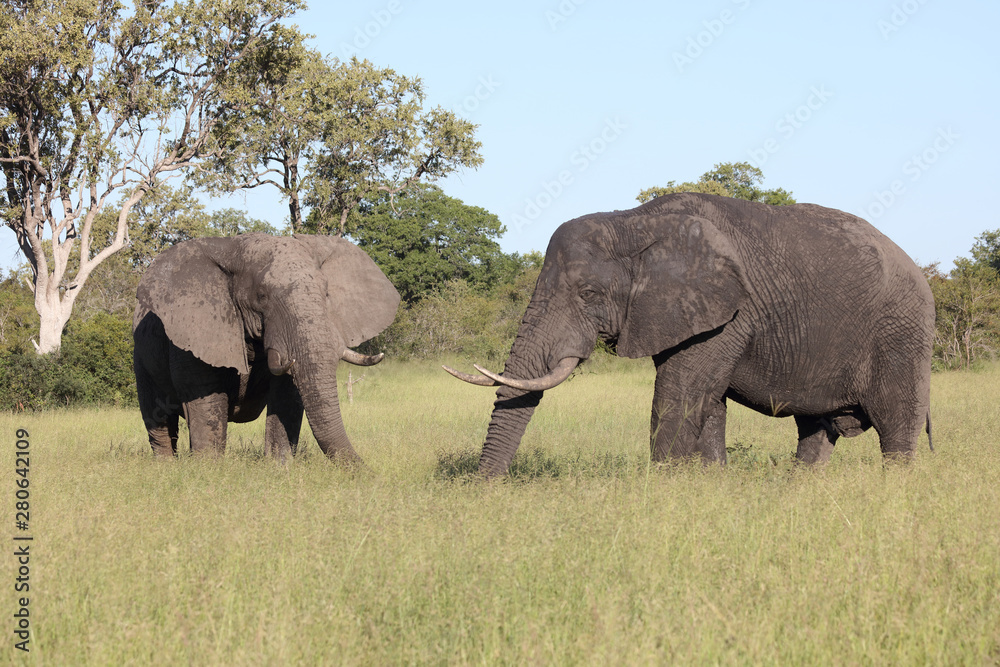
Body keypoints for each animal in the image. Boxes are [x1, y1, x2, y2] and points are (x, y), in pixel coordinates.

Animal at [133, 233, 400, 464]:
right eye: (261, 296)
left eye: (326, 294)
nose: (371, 472)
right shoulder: (194, 331)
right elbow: (205, 398)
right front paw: (207, 468)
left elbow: (286, 395)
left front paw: (279, 466)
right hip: (140, 356)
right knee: (158, 418)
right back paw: (166, 466)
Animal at [445, 193, 935, 477]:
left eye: (588, 293)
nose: (483, 489)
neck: (634, 221)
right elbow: (707, 404)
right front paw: (711, 484)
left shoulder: (729, 312)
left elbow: (680, 395)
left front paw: (669, 491)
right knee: (815, 432)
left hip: (903, 333)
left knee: (897, 430)